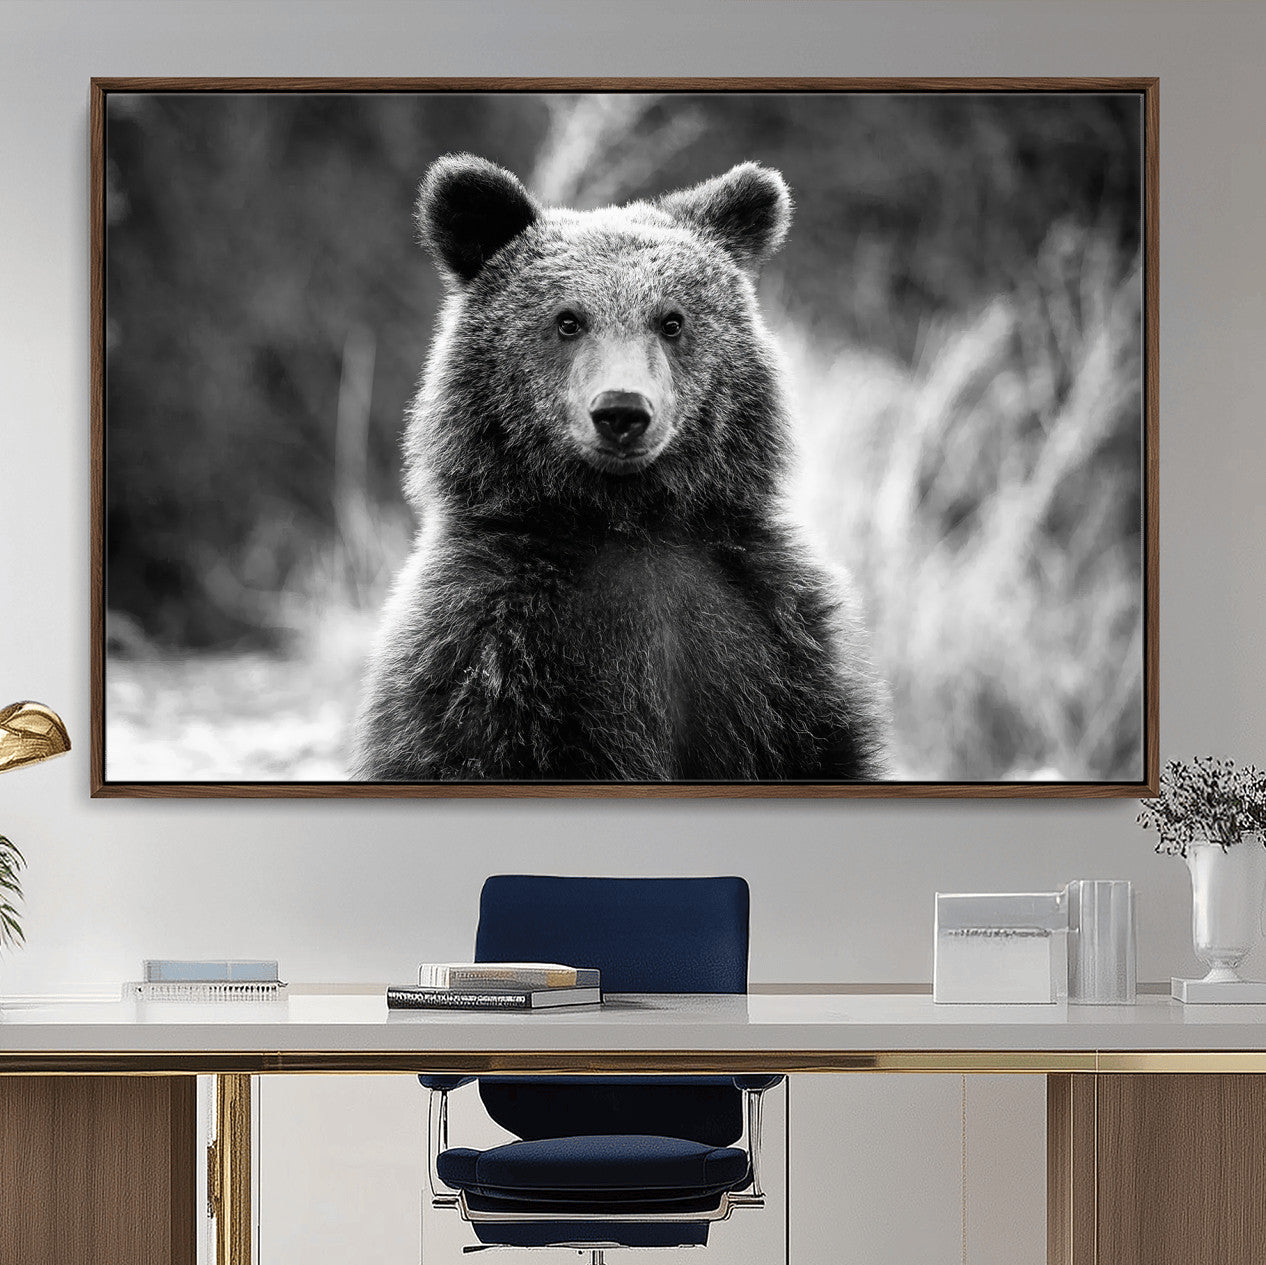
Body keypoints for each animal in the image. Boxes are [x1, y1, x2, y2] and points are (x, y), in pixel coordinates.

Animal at [352, 154, 888, 783]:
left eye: (672, 321)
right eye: (568, 320)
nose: (622, 411)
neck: (628, 521)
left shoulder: (774, 641)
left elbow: (821, 745)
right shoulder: (487, 650)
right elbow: (461, 746)